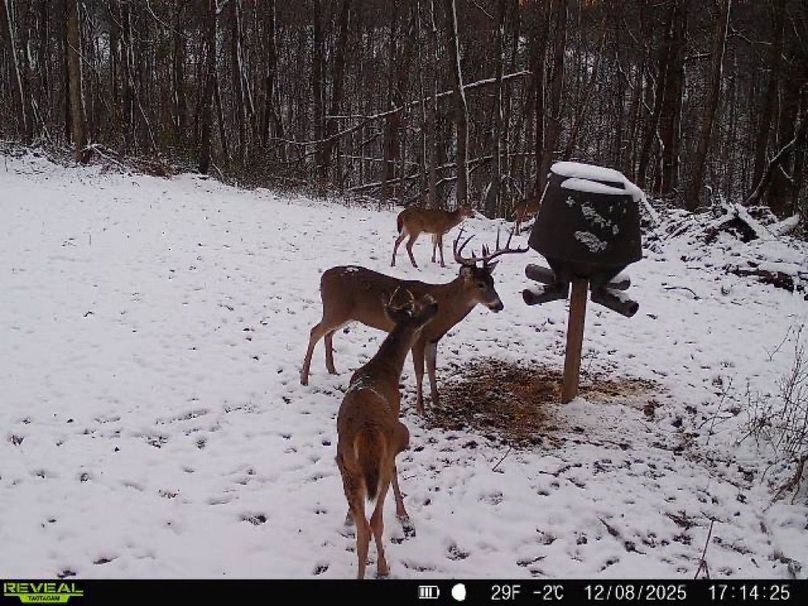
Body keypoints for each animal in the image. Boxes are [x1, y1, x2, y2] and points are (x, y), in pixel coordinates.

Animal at [301, 227, 528, 414]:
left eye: (493, 281)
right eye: (480, 284)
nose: (499, 305)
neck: (444, 306)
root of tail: (324, 277)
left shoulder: (434, 338)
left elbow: (432, 368)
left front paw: (437, 401)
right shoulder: (419, 336)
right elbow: (420, 371)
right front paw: (421, 407)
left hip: (344, 314)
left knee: (328, 333)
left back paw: (332, 369)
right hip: (335, 309)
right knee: (315, 331)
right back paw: (304, 378)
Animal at [336, 290, 438, 579]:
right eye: (419, 325)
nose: (433, 305)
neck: (383, 369)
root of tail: (366, 431)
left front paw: (347, 516)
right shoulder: (394, 440)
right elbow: (395, 472)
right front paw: (403, 513)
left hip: (346, 464)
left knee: (363, 530)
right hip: (387, 451)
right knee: (375, 521)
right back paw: (382, 567)